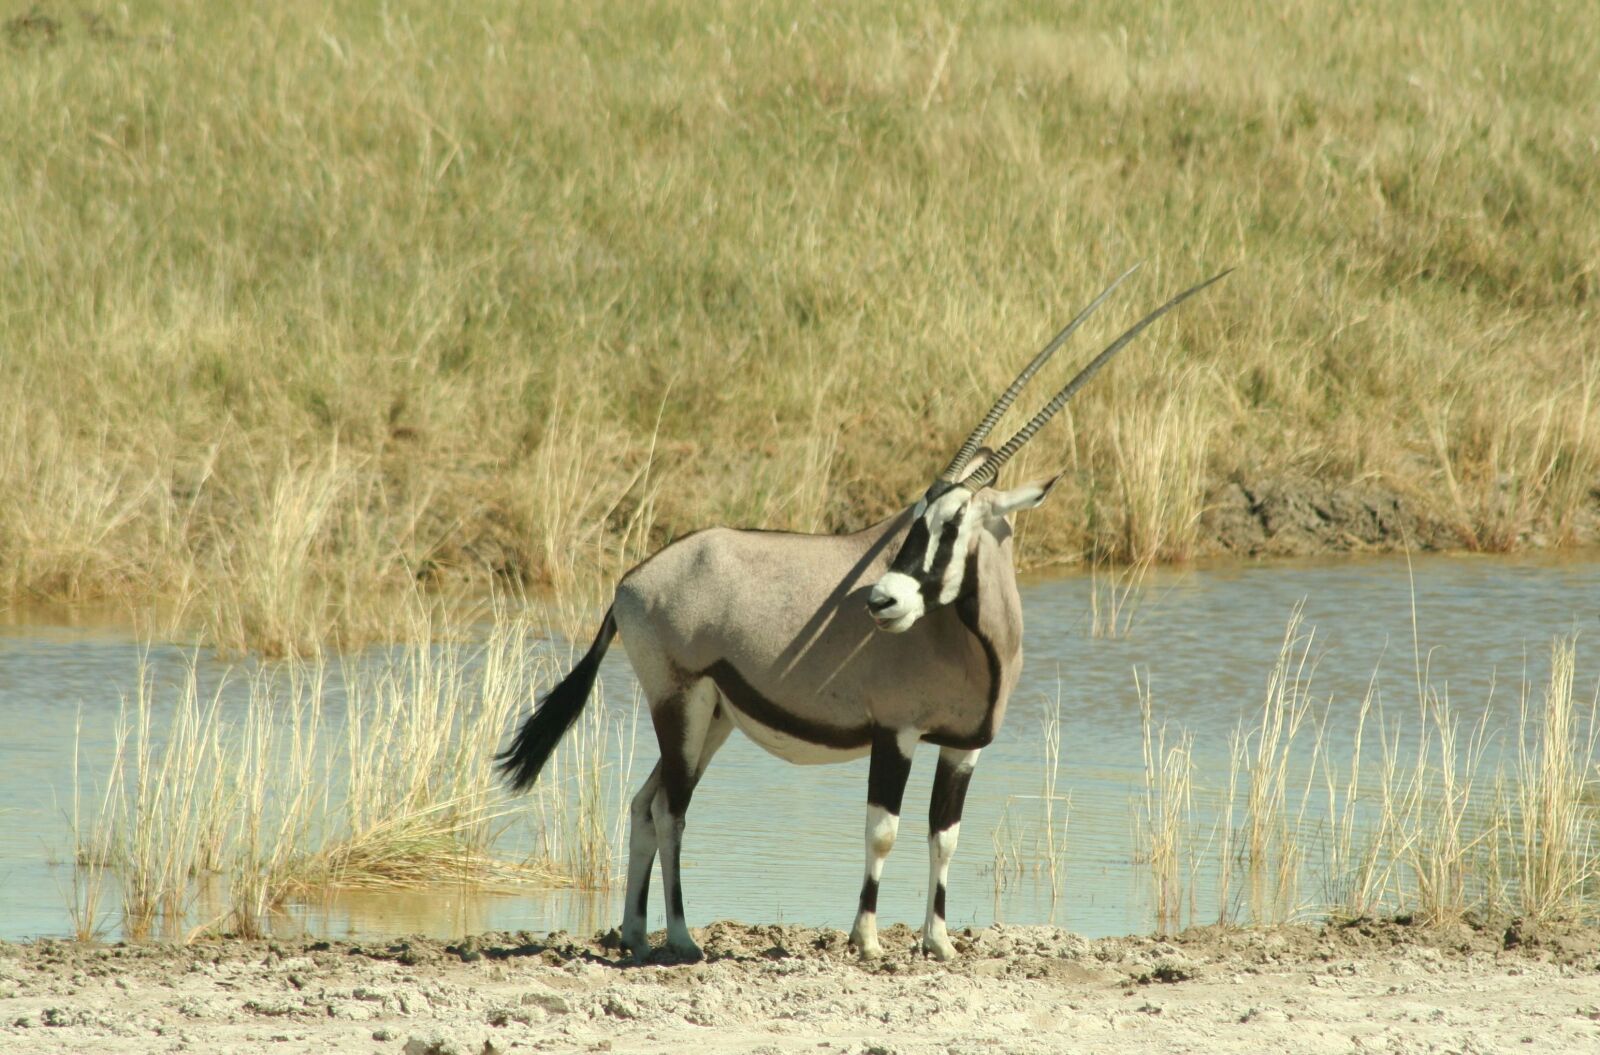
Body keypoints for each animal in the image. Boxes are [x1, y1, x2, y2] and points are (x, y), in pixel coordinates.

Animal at [499, 267, 1229, 961]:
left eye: (954, 522)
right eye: (915, 518)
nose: (883, 600)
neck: (973, 641)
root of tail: (629, 583)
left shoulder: (963, 747)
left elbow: (945, 837)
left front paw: (940, 941)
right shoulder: (896, 732)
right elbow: (883, 831)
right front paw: (868, 938)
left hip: (713, 719)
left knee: (646, 805)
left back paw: (635, 933)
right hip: (680, 704)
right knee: (674, 811)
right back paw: (679, 936)